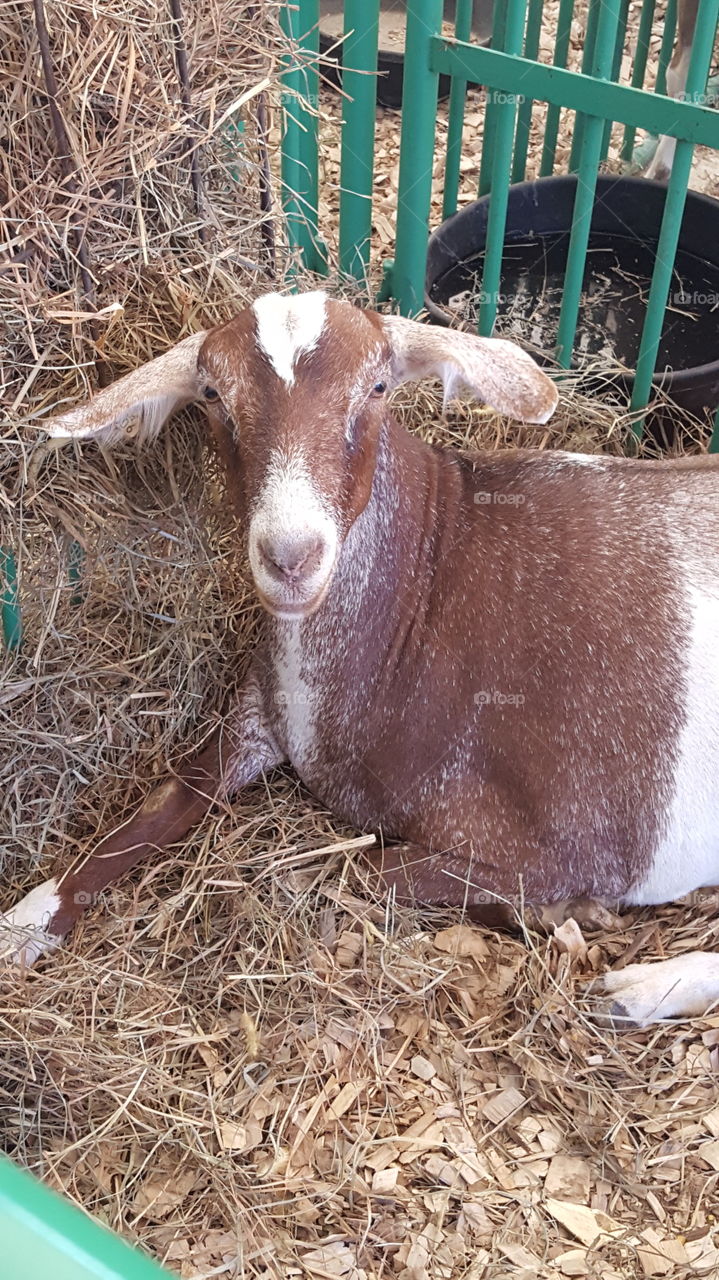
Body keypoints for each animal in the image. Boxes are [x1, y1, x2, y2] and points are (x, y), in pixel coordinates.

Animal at [3, 291, 719, 1030]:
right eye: (213, 395)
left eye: (377, 388)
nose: (290, 557)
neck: (426, 584)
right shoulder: (263, 715)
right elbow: (168, 799)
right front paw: (27, 919)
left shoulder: (555, 845)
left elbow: (342, 873)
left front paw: (566, 914)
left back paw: (641, 989)